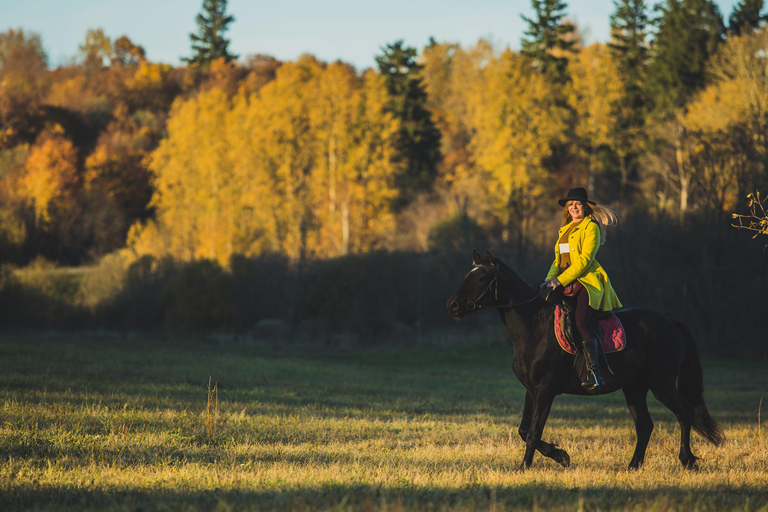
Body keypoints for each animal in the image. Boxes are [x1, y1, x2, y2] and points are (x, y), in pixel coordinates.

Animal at [446, 249, 725, 470]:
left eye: (482, 278)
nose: (453, 306)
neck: (535, 326)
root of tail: (671, 324)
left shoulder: (546, 390)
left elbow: (534, 431)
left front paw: (527, 466)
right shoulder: (531, 390)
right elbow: (524, 430)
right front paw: (560, 456)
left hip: (662, 385)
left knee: (685, 412)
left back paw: (687, 460)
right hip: (634, 388)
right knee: (645, 425)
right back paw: (633, 465)